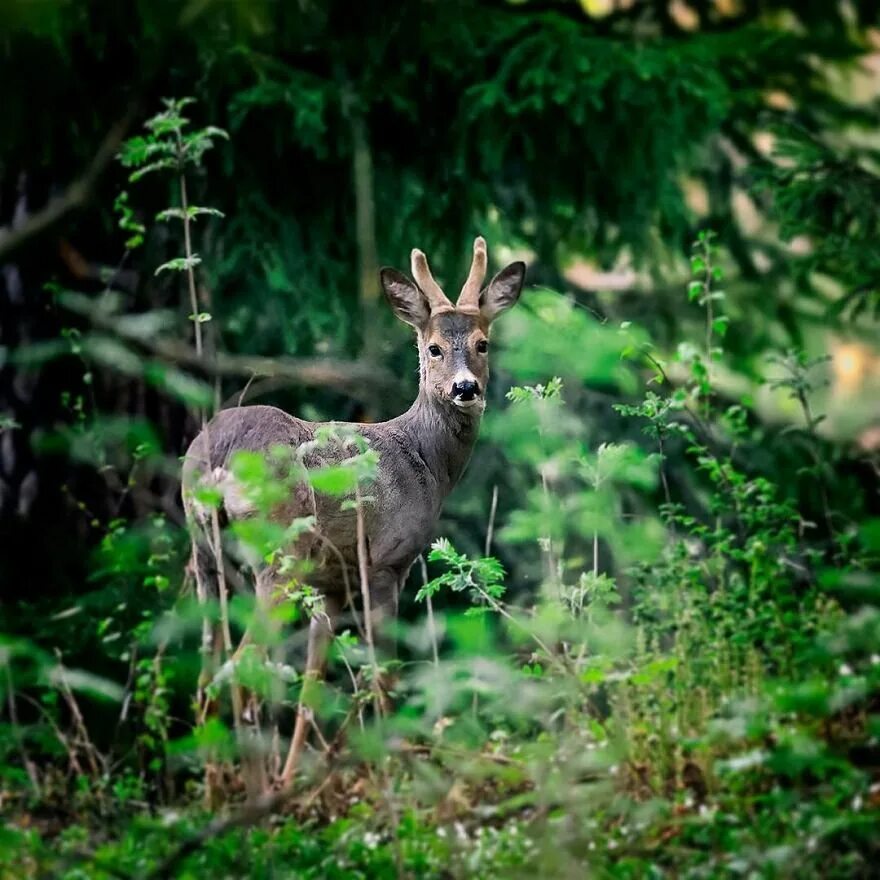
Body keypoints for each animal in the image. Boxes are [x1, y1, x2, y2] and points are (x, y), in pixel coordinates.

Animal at [180, 237, 524, 800]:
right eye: (433, 348)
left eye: (482, 343)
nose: (465, 389)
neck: (425, 462)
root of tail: (216, 454)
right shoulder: (385, 562)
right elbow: (383, 675)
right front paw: (397, 772)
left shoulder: (330, 584)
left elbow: (313, 686)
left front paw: (301, 775)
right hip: (280, 552)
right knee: (244, 667)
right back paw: (255, 797)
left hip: (206, 556)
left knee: (208, 676)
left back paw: (219, 795)